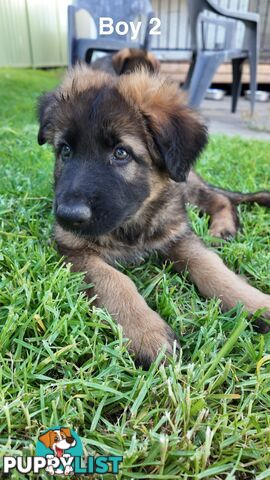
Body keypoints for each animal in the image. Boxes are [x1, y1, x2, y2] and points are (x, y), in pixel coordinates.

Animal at [38, 65, 270, 368]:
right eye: (65, 150)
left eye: (121, 153)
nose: (67, 216)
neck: (132, 225)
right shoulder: (73, 248)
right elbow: (115, 281)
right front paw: (146, 332)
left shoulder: (178, 233)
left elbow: (212, 267)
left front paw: (255, 302)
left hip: (188, 186)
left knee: (219, 198)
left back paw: (222, 229)